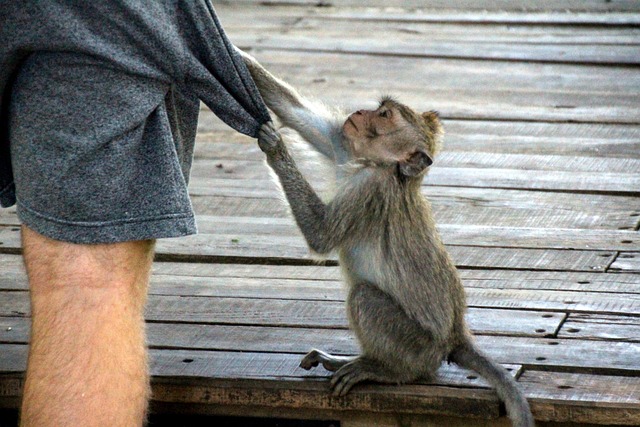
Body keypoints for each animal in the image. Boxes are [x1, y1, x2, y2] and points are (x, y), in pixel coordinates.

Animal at [242, 46, 532, 427]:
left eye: (384, 115)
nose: (359, 111)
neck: (381, 167)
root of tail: (455, 335)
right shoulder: (346, 146)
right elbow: (292, 109)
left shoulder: (370, 189)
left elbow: (321, 235)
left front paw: (275, 147)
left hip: (418, 348)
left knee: (365, 298)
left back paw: (387, 370)